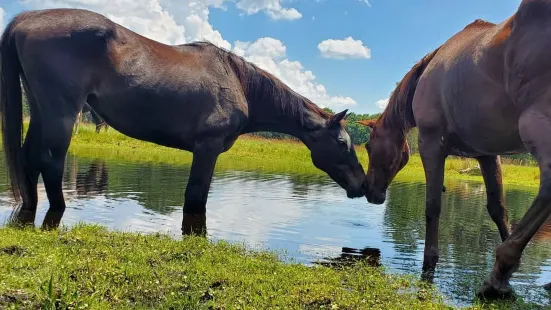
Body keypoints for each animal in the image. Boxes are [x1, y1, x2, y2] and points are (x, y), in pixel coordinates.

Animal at [2, 8, 368, 232]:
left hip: (41, 110)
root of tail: (27, 18)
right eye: (342, 143)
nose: (364, 186)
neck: (239, 82)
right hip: (61, 114)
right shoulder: (206, 150)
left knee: (29, 158)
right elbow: (195, 200)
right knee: (50, 162)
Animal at [360, 0, 551, 300]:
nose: (370, 192)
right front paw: (510, 275)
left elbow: (433, 205)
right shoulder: (486, 153)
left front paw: (430, 261)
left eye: (368, 146)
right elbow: (498, 209)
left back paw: (497, 275)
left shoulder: (431, 145)